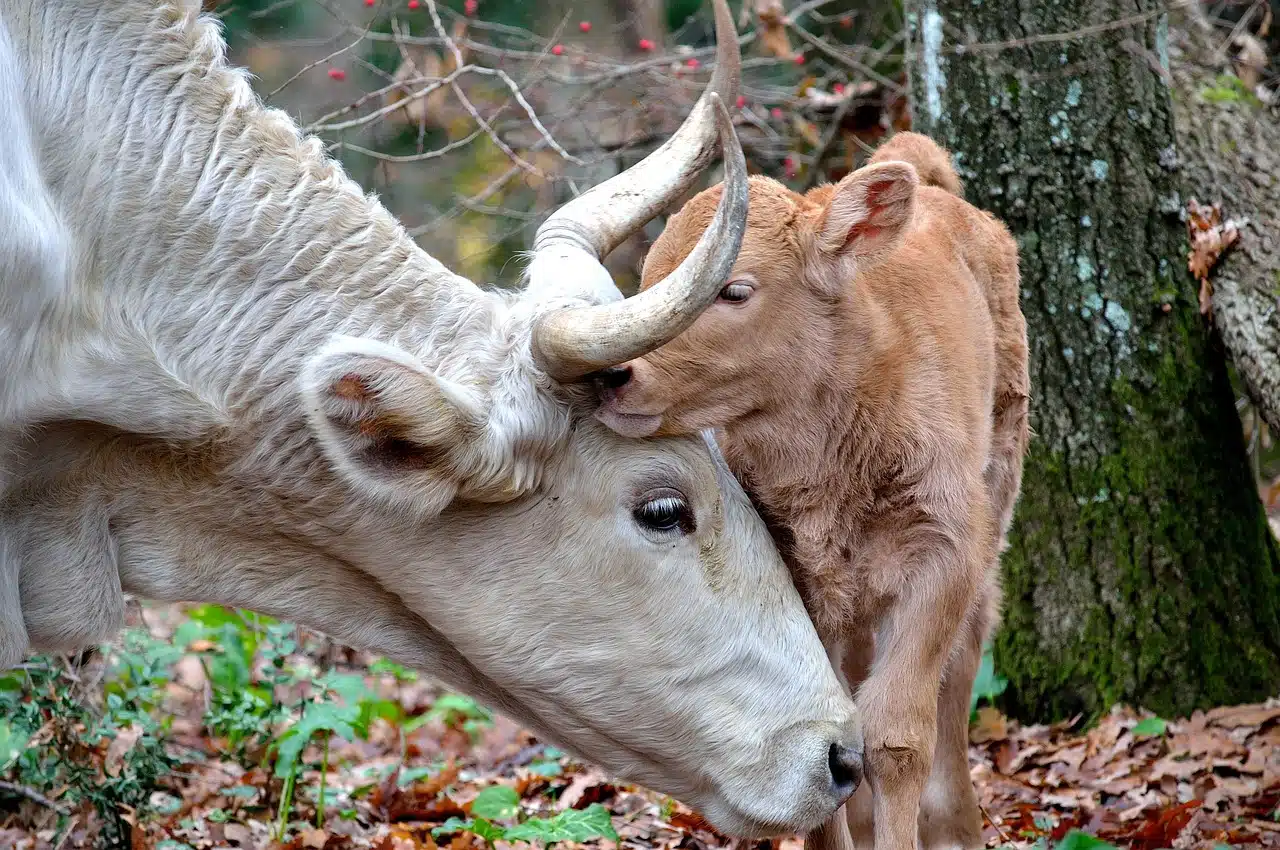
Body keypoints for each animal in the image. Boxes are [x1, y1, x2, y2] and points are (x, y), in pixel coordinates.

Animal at [596, 129, 1029, 844]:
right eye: (650, 278)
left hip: (996, 497)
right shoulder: (793, 574)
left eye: (734, 290)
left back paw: (956, 824)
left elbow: (896, 736)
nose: (612, 373)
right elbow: (825, 739)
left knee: (965, 657)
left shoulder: (943, 553)